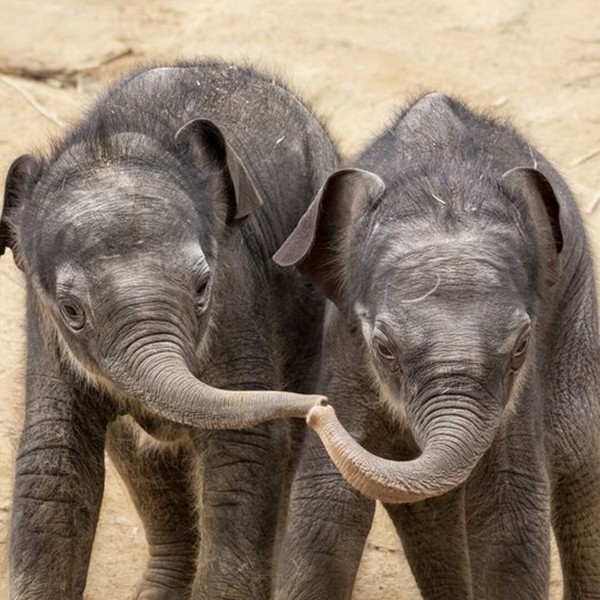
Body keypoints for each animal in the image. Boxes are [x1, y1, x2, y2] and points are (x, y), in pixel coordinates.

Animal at [0, 62, 338, 600]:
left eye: (202, 287)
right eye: (71, 310)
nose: (322, 408)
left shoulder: (235, 296)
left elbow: (242, 452)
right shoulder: (43, 322)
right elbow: (53, 461)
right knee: (138, 453)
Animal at [274, 91, 600, 596]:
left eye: (522, 346)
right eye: (384, 349)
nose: (315, 410)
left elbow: (509, 515)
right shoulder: (345, 346)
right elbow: (326, 508)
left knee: (580, 466)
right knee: (427, 513)